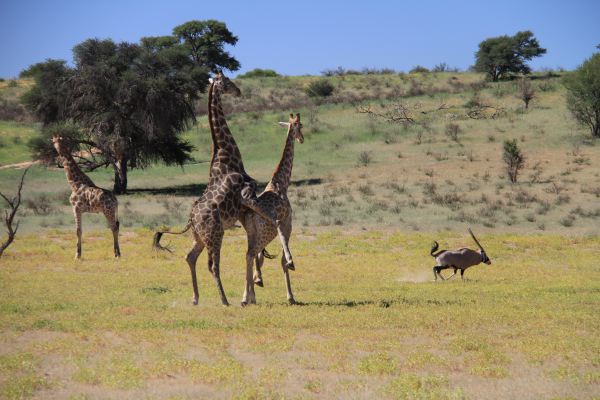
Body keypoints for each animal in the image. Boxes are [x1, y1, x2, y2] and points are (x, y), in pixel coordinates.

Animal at [154, 72, 288, 304]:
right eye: (227, 81)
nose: (238, 91)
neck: (228, 157)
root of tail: (191, 219)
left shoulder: (246, 203)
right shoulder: (247, 196)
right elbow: (274, 220)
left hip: (200, 237)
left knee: (189, 257)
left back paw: (196, 298)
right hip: (215, 235)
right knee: (212, 265)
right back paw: (224, 300)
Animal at [239, 113, 304, 306]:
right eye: (301, 126)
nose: (302, 139)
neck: (281, 183)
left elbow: (264, 258)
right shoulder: (287, 222)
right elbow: (282, 259)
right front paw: (291, 296)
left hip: (253, 234)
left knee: (250, 254)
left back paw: (249, 296)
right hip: (266, 233)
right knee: (251, 254)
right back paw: (248, 296)